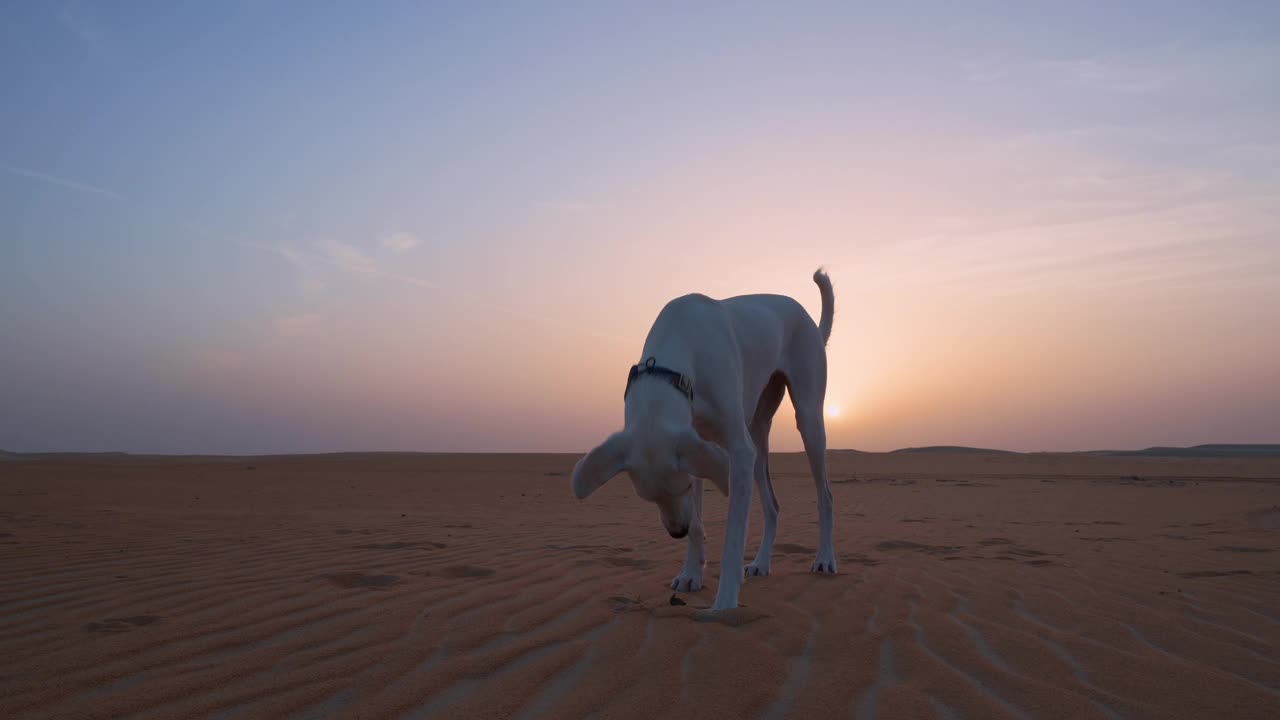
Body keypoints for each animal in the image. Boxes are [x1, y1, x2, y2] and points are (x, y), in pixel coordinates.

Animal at [573, 267, 834, 604]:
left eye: (682, 486)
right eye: (647, 498)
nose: (676, 531)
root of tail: (808, 320)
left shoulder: (735, 453)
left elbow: (733, 539)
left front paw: (725, 601)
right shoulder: (696, 449)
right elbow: (699, 524)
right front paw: (690, 575)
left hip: (807, 419)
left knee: (825, 496)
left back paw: (825, 558)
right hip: (757, 434)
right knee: (772, 505)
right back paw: (761, 563)